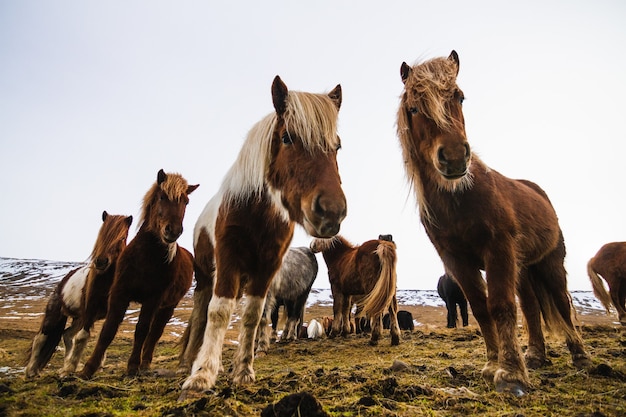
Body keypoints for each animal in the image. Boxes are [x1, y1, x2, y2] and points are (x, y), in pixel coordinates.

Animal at [24, 211, 132, 376]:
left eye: (121, 238)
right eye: (101, 235)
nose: (101, 262)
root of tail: (61, 283)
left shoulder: (111, 313)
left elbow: (104, 337)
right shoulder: (89, 312)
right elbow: (82, 337)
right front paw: (70, 369)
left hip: (78, 318)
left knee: (67, 334)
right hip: (54, 316)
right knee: (41, 338)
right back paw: (31, 371)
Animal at [77, 168, 197, 376]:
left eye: (186, 201)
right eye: (162, 196)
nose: (173, 231)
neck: (146, 258)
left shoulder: (153, 299)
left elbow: (142, 330)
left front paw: (133, 366)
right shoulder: (120, 293)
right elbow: (108, 329)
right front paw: (89, 369)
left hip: (168, 306)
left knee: (155, 332)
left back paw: (145, 362)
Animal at [177, 75, 346, 396]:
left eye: (338, 146)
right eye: (287, 137)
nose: (331, 212)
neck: (255, 214)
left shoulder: (265, 271)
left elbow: (255, 316)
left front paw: (243, 370)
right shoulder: (228, 262)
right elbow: (218, 314)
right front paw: (202, 374)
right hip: (205, 276)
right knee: (200, 313)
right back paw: (189, 361)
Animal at [394, 51, 588, 394]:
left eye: (459, 97)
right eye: (414, 108)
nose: (454, 157)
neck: (460, 200)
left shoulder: (498, 250)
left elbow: (501, 306)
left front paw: (510, 374)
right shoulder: (456, 260)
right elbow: (481, 307)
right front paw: (493, 364)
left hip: (549, 263)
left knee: (562, 304)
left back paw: (580, 356)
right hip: (523, 268)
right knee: (532, 306)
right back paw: (535, 355)